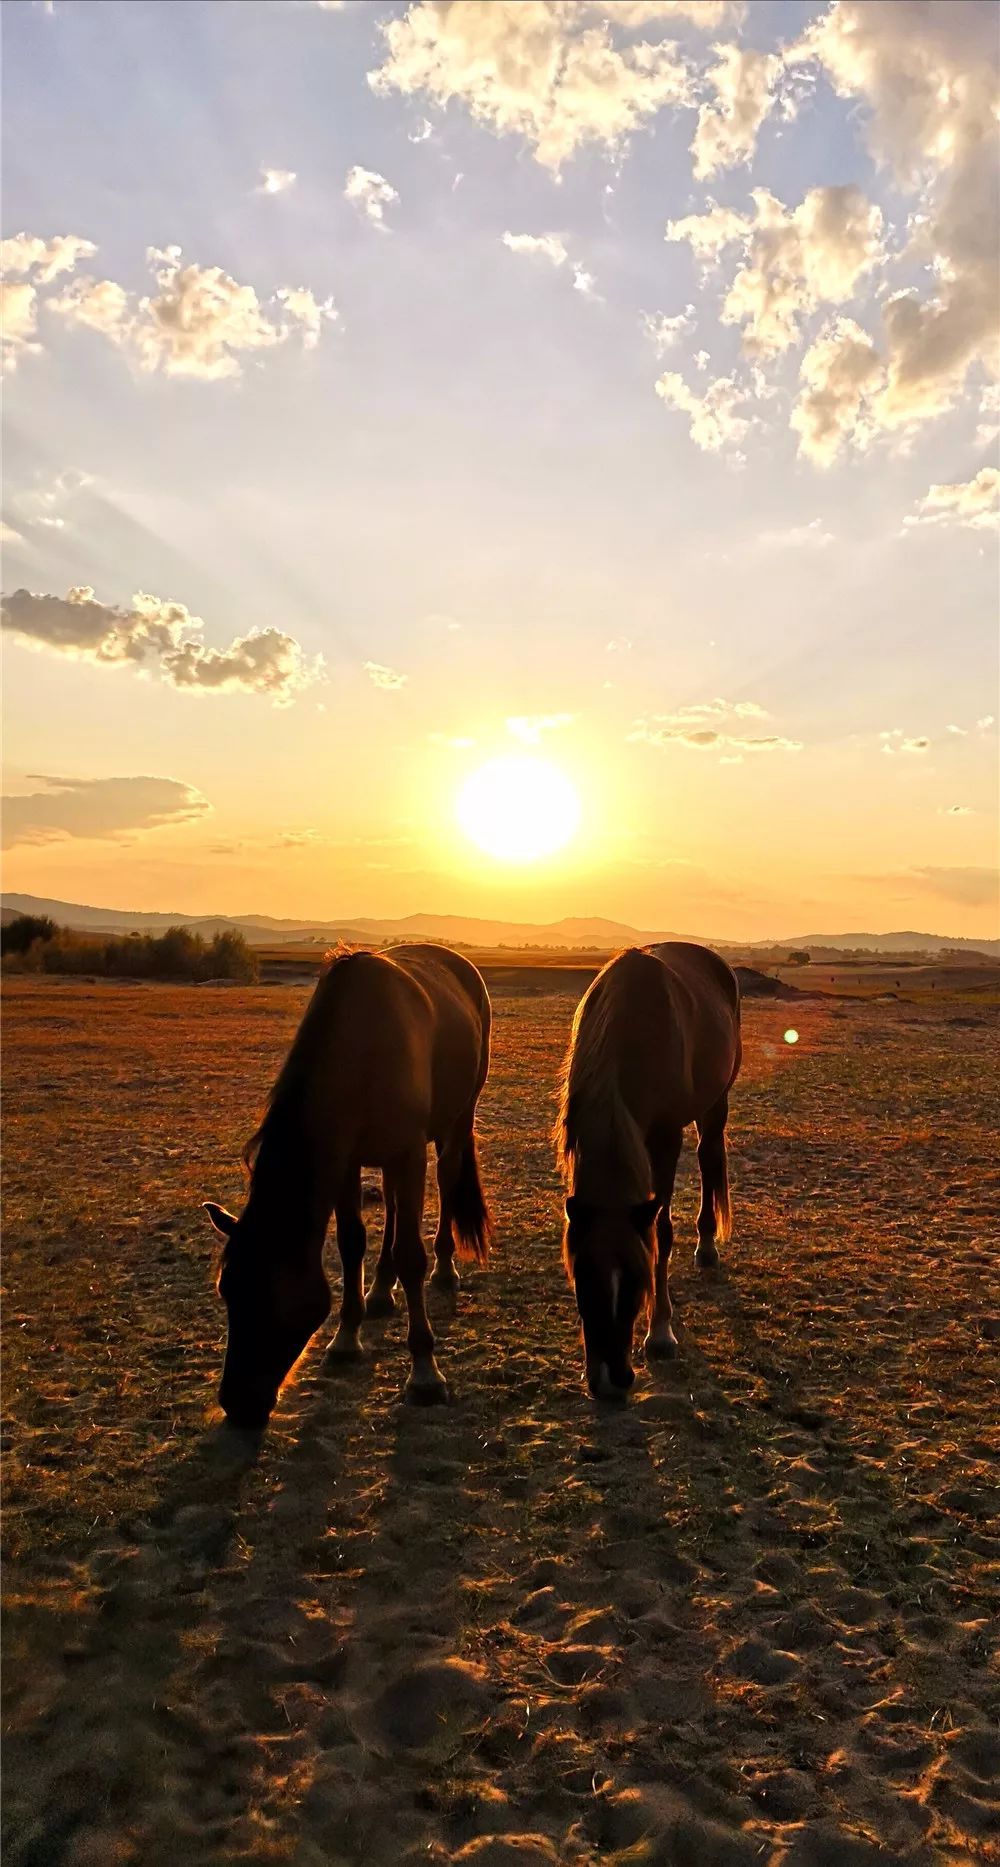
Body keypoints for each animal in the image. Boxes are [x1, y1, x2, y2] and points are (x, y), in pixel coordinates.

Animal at [205, 940, 492, 1418]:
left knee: (447, 1179)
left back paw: (444, 1267)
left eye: (274, 1296)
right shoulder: (346, 1162)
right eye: (228, 1290)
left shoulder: (408, 1153)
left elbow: (411, 1256)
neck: (361, 1050)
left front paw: (425, 1373)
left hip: (456, 1121)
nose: (238, 1403)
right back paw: (380, 1290)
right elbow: (351, 1243)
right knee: (392, 1205)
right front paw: (345, 1338)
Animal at [555, 948, 742, 1403]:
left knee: (709, 1157)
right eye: (581, 1281)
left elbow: (661, 1232)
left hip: (716, 1103)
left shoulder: (665, 1138)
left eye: (637, 1283)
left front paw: (660, 1332)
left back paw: (707, 1246)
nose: (610, 1382)